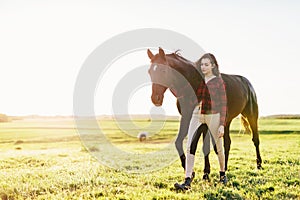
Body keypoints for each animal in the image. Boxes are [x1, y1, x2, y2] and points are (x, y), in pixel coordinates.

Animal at [148, 47, 262, 175]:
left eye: (163, 71)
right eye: (150, 72)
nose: (155, 98)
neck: (193, 83)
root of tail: (247, 83)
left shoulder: (203, 121)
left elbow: (204, 146)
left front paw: (205, 172)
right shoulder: (187, 117)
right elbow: (179, 142)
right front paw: (190, 171)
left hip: (252, 116)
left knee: (255, 139)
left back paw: (259, 165)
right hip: (226, 121)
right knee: (227, 143)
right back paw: (225, 167)